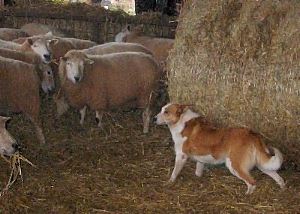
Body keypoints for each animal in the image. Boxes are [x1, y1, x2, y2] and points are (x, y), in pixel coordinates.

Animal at [156, 103, 284, 194]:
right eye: (161, 110)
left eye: (166, 112)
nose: (153, 118)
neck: (181, 122)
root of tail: (252, 134)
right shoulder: (200, 159)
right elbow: (198, 170)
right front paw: (198, 178)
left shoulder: (181, 156)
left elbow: (174, 172)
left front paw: (169, 182)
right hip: (263, 165)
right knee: (278, 177)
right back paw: (282, 188)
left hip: (234, 165)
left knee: (252, 182)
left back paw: (247, 195)